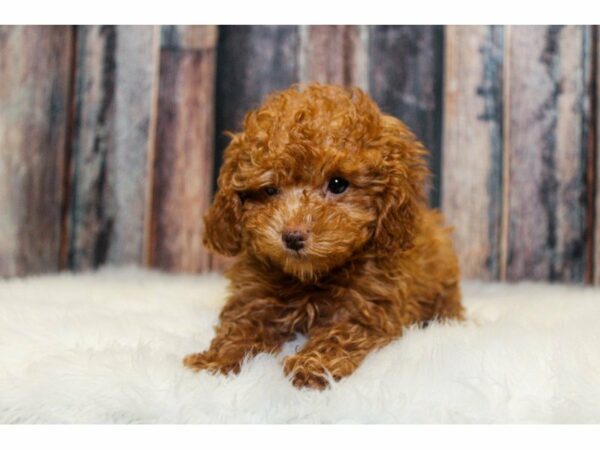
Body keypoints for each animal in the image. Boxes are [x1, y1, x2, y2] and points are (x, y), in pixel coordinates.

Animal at [184, 84, 464, 390]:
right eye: (269, 190)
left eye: (338, 184)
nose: (292, 237)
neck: (310, 278)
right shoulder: (254, 296)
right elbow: (241, 327)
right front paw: (216, 361)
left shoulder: (366, 307)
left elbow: (339, 335)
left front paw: (314, 366)